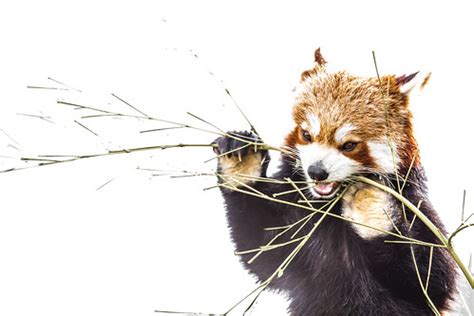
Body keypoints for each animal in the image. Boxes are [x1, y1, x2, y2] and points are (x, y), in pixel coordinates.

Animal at [213, 48, 458, 314]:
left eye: (349, 145)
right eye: (306, 135)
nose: (316, 172)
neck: (329, 208)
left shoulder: (416, 205)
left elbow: (431, 281)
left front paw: (368, 203)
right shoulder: (296, 218)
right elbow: (262, 250)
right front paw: (243, 161)